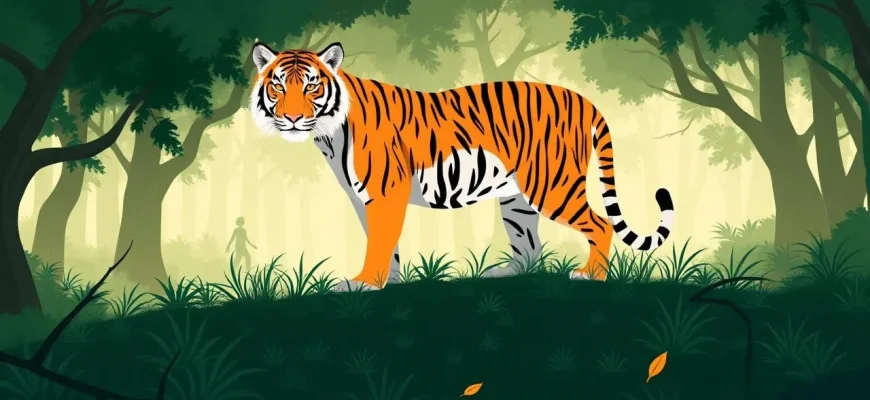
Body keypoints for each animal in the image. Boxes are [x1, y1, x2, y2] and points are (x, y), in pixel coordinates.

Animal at [248, 41, 675, 291]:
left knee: (600, 224)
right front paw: (390, 282)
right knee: (530, 247)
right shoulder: (363, 199)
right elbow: (386, 243)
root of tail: (582, 99)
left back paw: (591, 277)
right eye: (278, 86)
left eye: (311, 86)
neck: (328, 135)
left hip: (552, 185)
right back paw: (504, 273)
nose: (291, 118)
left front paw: (365, 283)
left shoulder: (385, 194)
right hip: (517, 198)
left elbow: (380, 242)